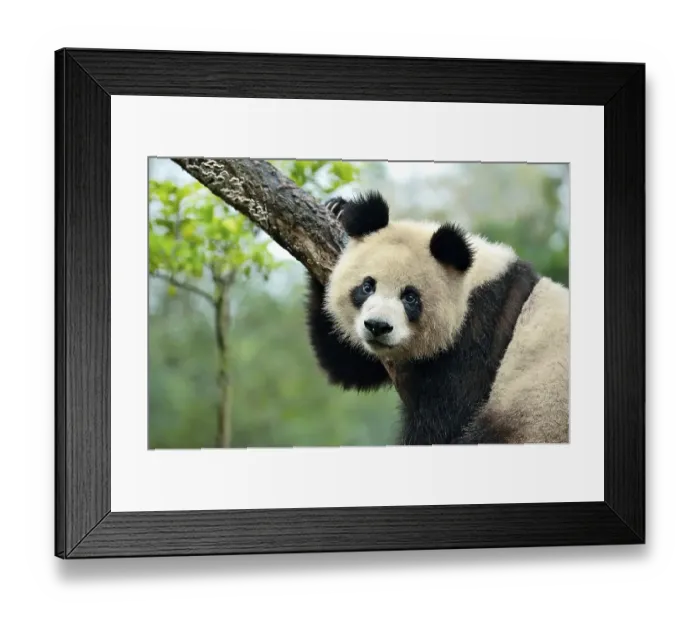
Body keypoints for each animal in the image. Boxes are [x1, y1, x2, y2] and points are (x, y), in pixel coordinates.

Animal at [305, 191, 569, 445]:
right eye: (367, 286)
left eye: (410, 297)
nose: (377, 327)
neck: (471, 283)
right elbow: (350, 364)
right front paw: (337, 208)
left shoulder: (482, 329)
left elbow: (446, 419)